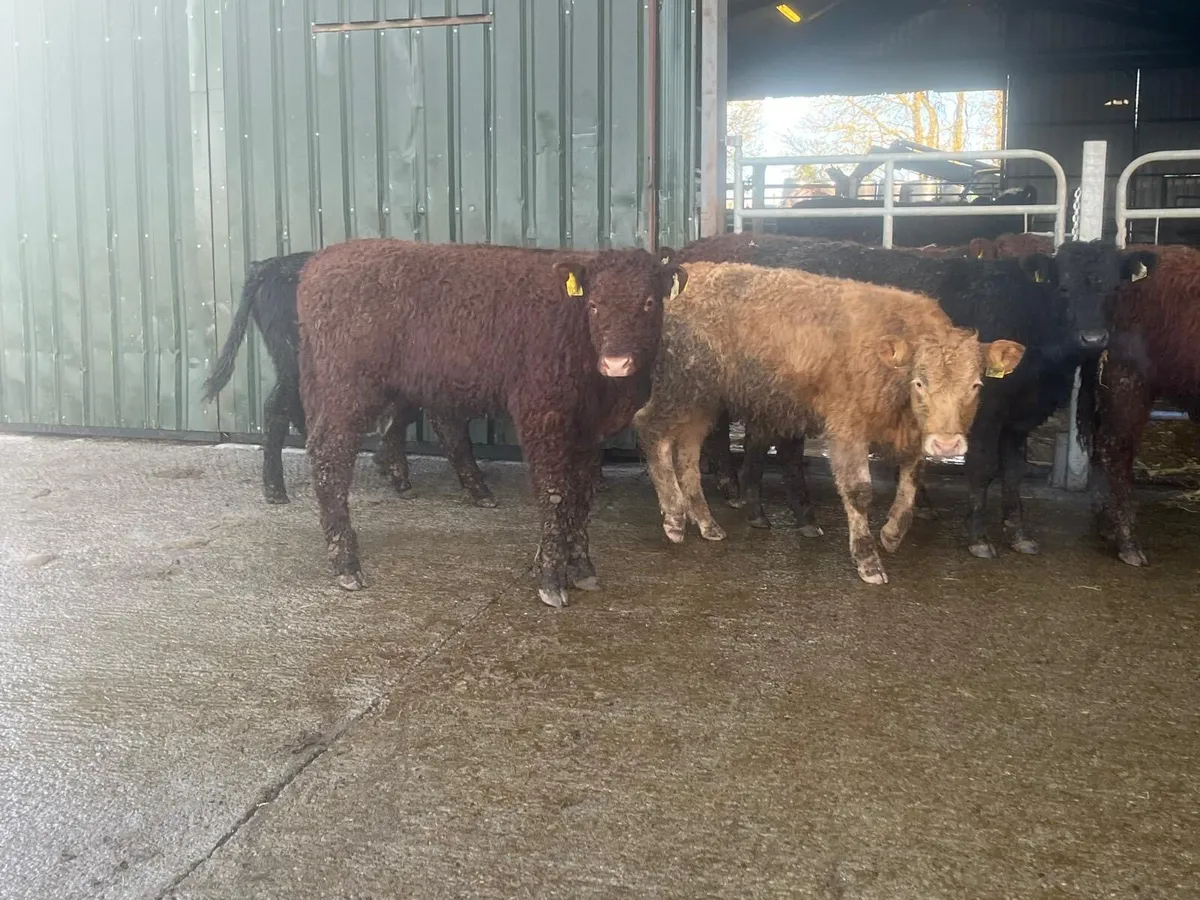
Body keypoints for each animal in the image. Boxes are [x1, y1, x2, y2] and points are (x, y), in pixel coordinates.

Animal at [201, 252, 495, 508]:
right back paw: (277, 492)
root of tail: (267, 265)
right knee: (277, 406)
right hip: (294, 360)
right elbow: (451, 432)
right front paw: (484, 495)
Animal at [296, 239, 685, 607]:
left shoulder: (590, 429)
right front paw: (550, 579)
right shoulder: (541, 413)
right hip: (347, 387)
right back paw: (346, 564)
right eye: (594, 304)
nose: (616, 362)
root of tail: (319, 263)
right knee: (330, 456)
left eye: (649, 302)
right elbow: (555, 494)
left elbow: (581, 496)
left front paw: (582, 568)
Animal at [633, 260, 1025, 585]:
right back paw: (674, 517)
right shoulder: (847, 426)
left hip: (703, 403)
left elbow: (911, 483)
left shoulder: (913, 433)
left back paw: (706, 522)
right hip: (680, 388)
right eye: (920, 382)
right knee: (651, 429)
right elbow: (859, 490)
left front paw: (892, 533)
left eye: (975, 385)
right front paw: (868, 559)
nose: (948, 444)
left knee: (686, 454)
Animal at [684, 233, 1157, 558]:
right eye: (1062, 288)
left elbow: (1014, 473)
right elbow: (982, 470)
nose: (1093, 338)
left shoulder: (1019, 417)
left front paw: (1019, 532)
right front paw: (979, 537)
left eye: (1114, 288)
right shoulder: (985, 414)